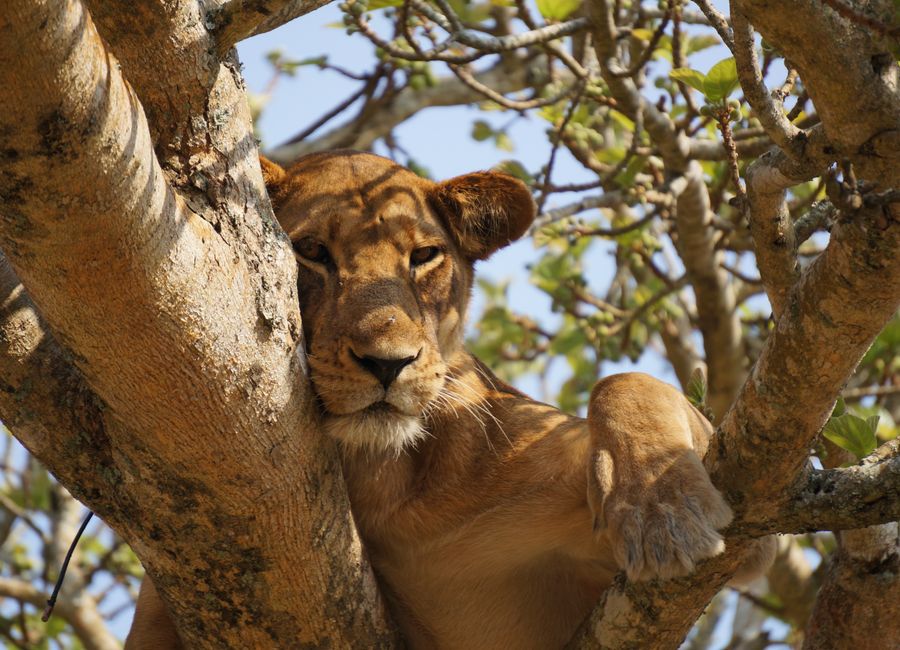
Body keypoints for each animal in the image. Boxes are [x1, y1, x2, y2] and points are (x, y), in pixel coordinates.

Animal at [126, 151, 773, 649]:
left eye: (423, 256)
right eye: (310, 250)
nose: (388, 363)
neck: (385, 482)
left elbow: (625, 383)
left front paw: (661, 509)